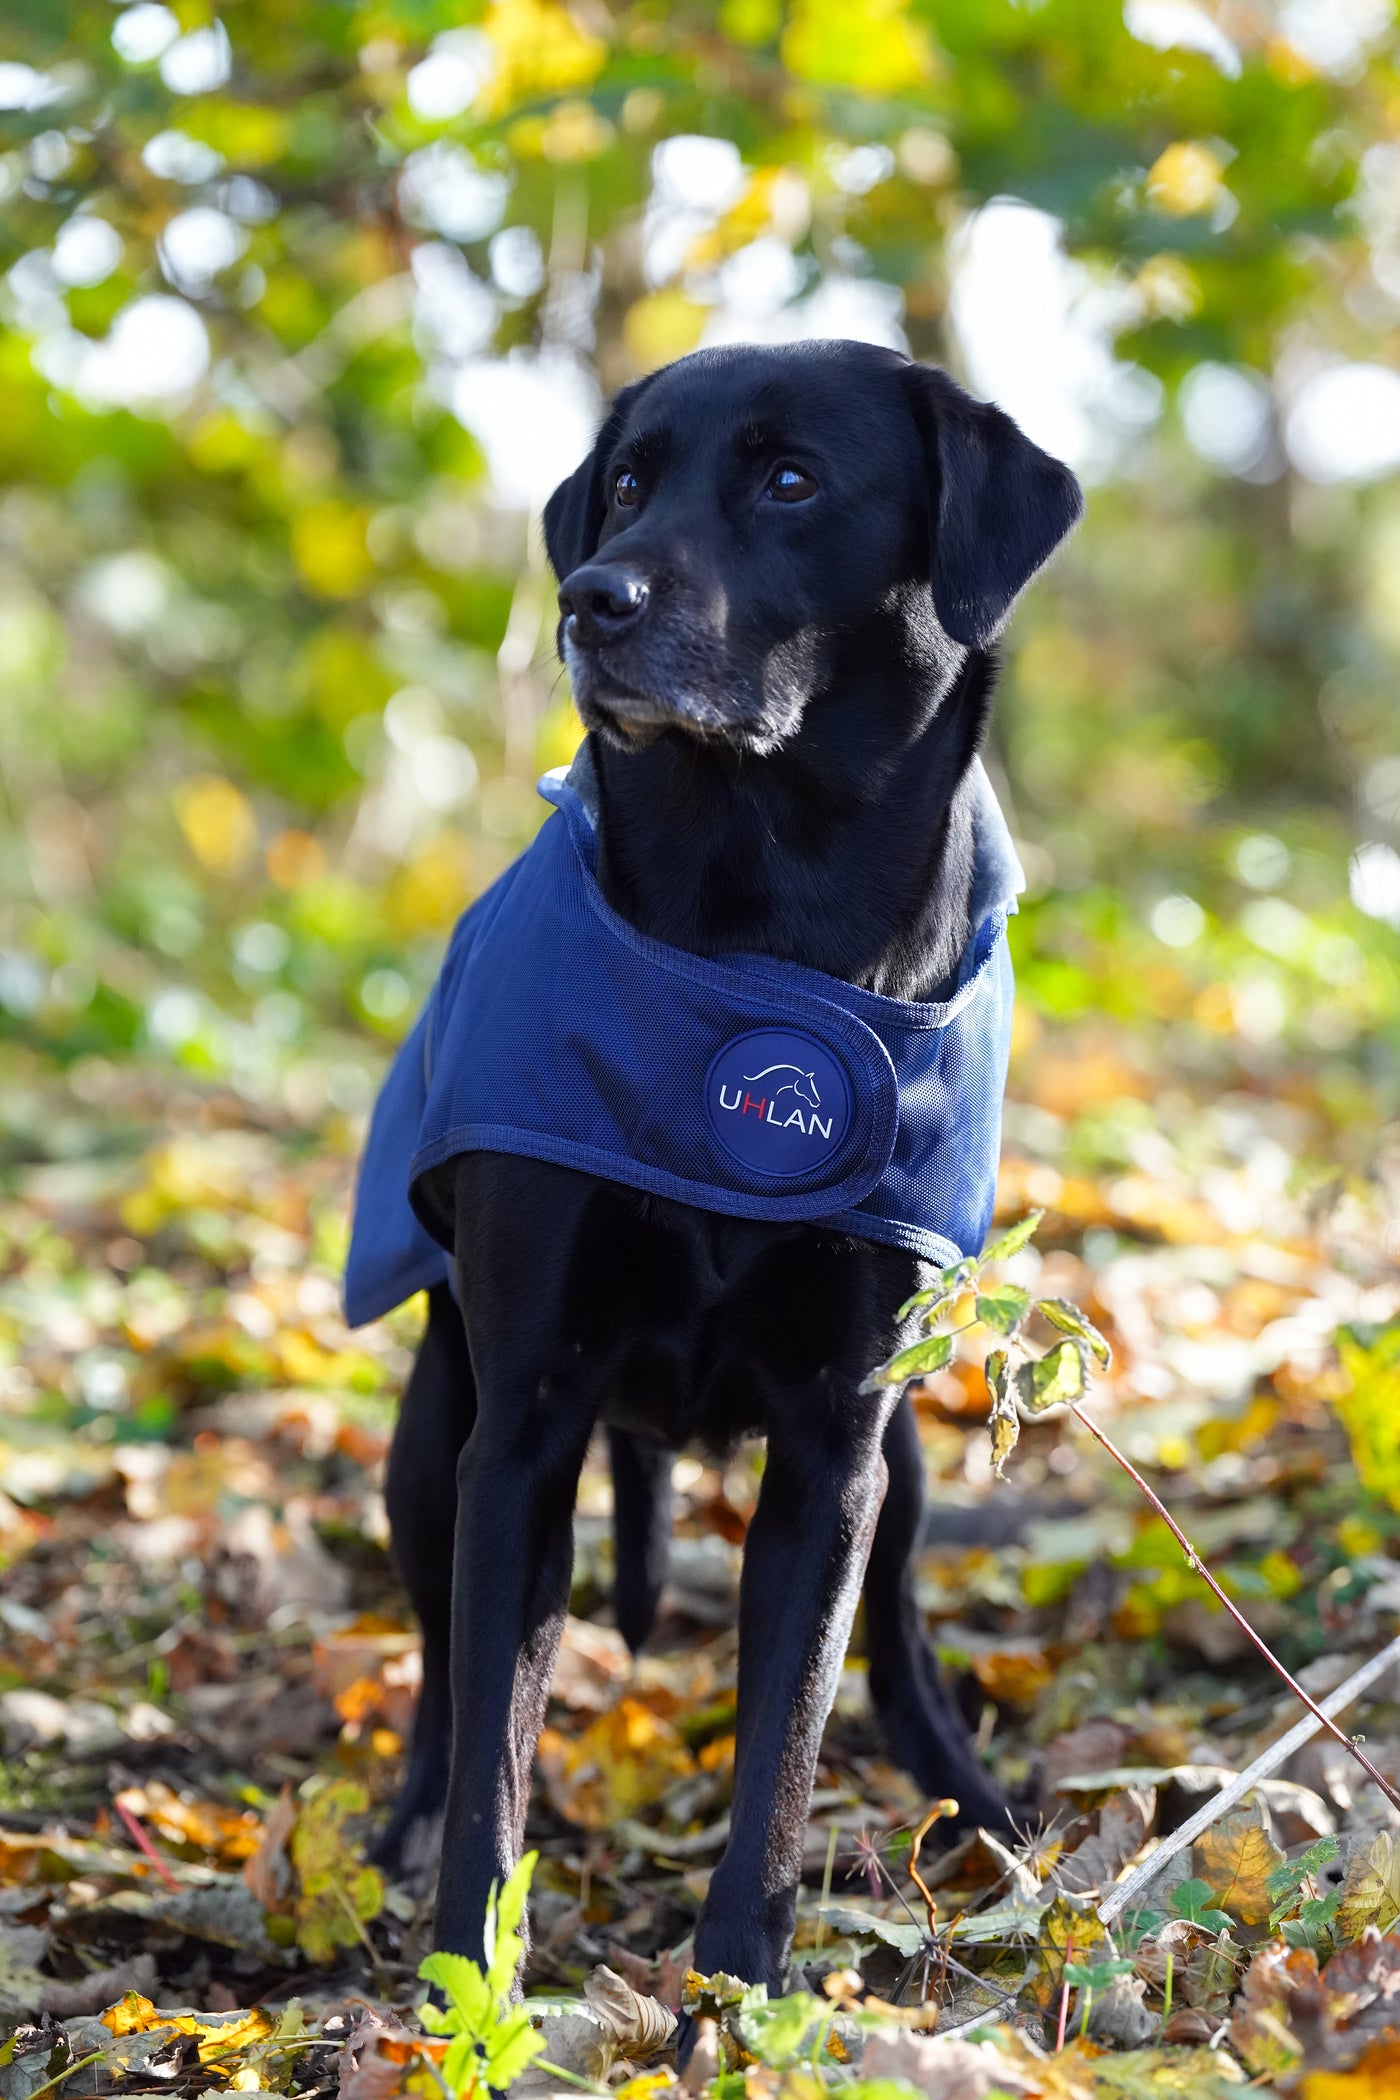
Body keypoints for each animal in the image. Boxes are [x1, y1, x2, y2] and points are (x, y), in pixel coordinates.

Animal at [375, 340, 1083, 1999]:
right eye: (631, 481)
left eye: (792, 480)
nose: (594, 601)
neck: (760, 937)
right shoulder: (524, 1424)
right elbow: (499, 1736)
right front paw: (470, 1983)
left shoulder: (835, 1442)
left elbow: (790, 1737)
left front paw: (741, 1986)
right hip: (429, 1438)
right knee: (438, 1672)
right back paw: (405, 1825)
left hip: (905, 1472)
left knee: (898, 1647)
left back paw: (982, 1813)